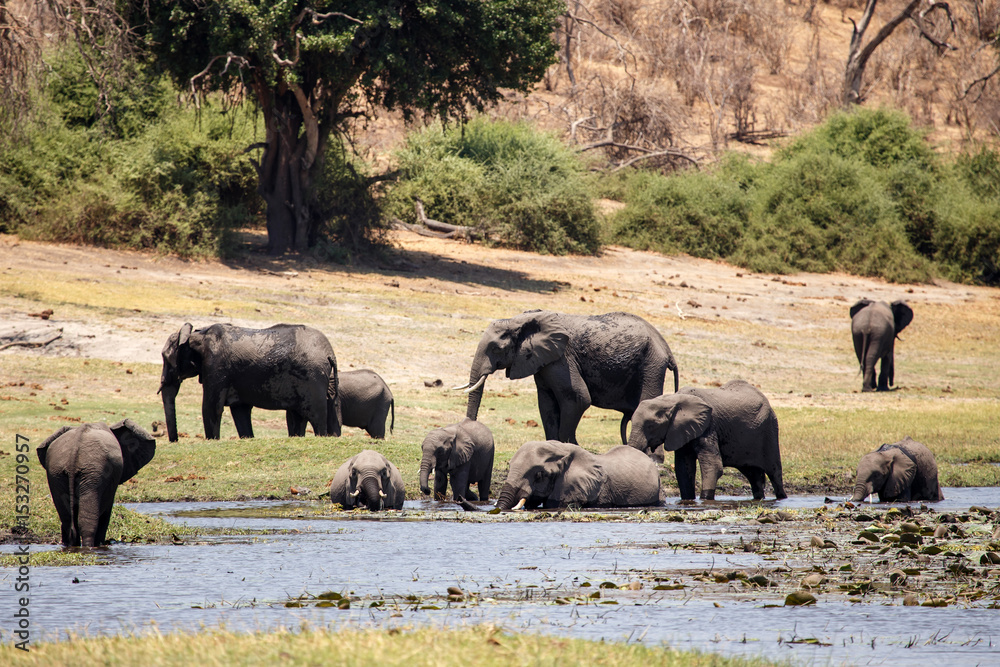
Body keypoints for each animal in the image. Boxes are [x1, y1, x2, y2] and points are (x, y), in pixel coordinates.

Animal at [159, 322, 341, 442]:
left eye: (165, 357)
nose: (175, 440)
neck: (199, 334)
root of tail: (329, 354)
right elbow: (240, 410)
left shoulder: (216, 366)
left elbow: (211, 407)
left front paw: (212, 441)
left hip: (311, 378)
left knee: (315, 416)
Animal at [456, 310, 679, 445]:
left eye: (496, 348)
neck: (521, 319)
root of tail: (667, 348)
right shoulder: (543, 362)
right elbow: (546, 404)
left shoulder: (562, 359)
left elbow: (578, 398)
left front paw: (570, 448)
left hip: (651, 364)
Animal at [627, 380, 786, 501]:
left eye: (651, 425)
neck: (672, 399)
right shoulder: (681, 431)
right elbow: (683, 468)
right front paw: (688, 500)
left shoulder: (708, 426)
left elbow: (714, 466)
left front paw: (705, 500)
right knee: (753, 475)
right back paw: (759, 498)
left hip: (770, 428)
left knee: (774, 472)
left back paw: (781, 498)